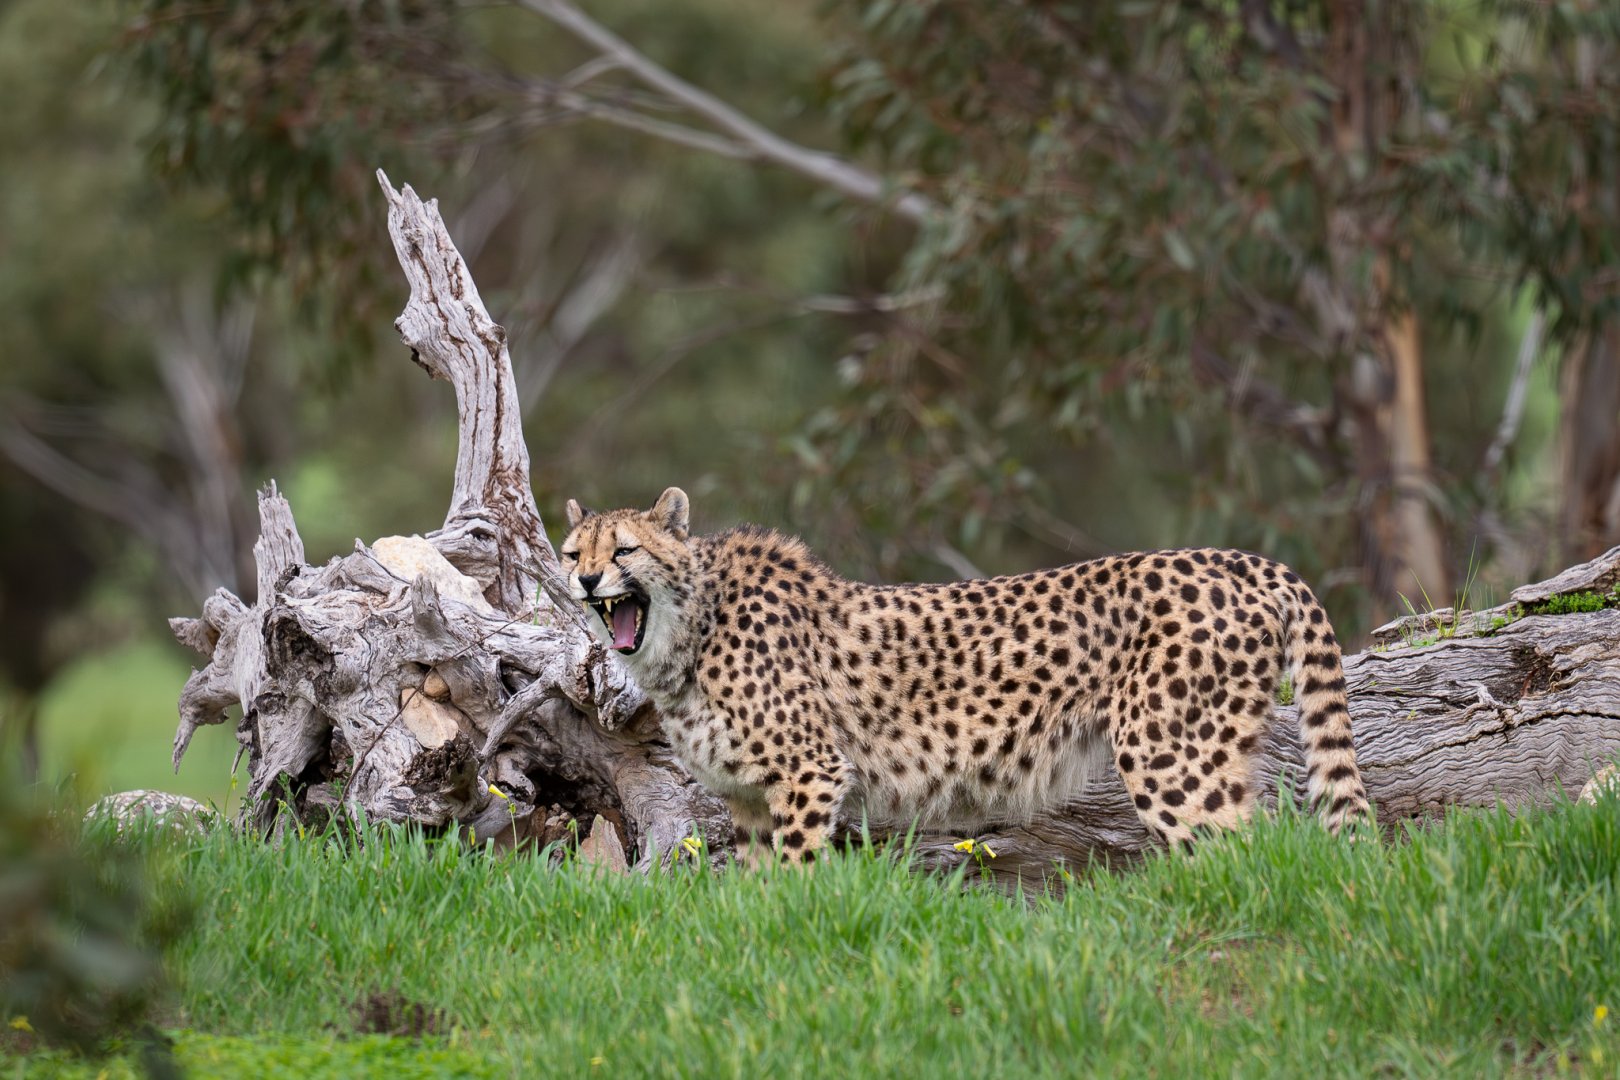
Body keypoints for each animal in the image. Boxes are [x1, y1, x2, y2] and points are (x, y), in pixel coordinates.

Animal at [559, 487, 1370, 864]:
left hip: (1170, 753)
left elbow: (794, 873)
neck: (688, 631)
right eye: (574, 553)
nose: (588, 580)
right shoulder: (752, 795)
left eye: (624, 549)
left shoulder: (810, 771)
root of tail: (1240, 557)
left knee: (1248, 857)